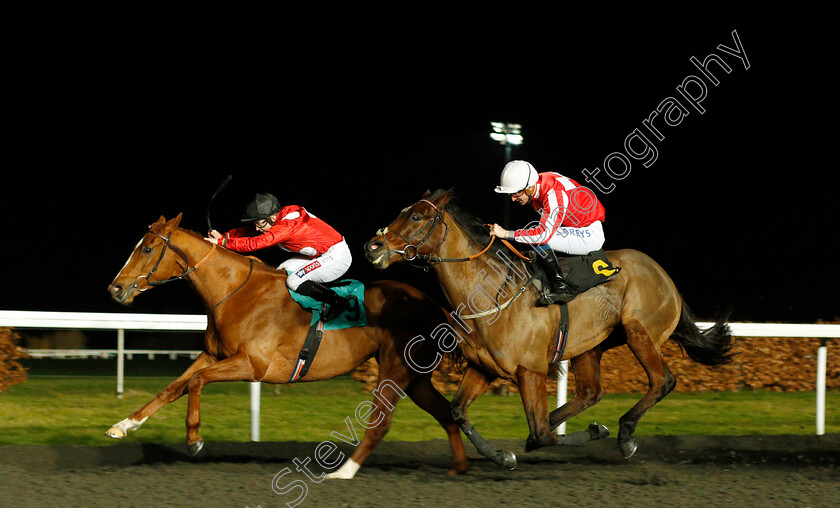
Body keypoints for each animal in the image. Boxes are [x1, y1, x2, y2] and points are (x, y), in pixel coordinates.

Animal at [106, 212, 470, 478]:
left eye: (147, 249)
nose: (116, 289)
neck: (235, 292)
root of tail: (434, 305)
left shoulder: (252, 364)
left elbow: (195, 382)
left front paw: (194, 439)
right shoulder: (212, 354)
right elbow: (172, 388)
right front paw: (123, 425)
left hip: (396, 369)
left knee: (381, 423)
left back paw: (343, 472)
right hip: (416, 377)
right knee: (446, 414)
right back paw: (458, 468)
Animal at [364, 190, 732, 464]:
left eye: (416, 217)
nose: (373, 247)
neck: (491, 295)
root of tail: (663, 274)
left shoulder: (530, 370)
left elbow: (541, 434)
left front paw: (595, 432)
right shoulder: (484, 367)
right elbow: (457, 411)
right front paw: (501, 455)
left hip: (639, 332)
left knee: (662, 381)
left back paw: (625, 434)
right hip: (591, 345)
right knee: (589, 393)